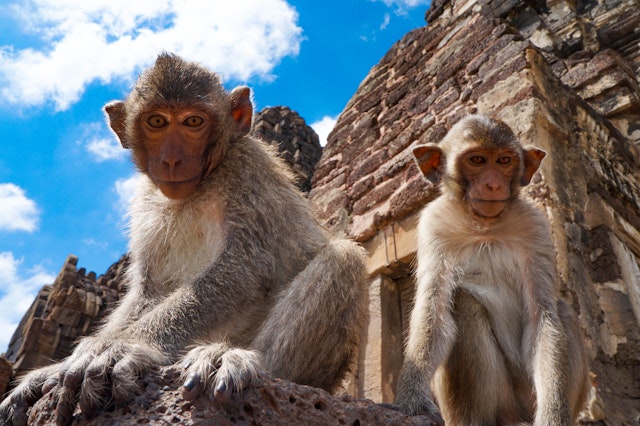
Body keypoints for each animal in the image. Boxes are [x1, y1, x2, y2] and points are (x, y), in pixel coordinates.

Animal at [0, 52, 368, 426]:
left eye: (193, 121)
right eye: (157, 122)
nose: (172, 159)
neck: (201, 185)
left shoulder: (247, 170)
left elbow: (244, 269)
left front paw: (127, 347)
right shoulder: (147, 202)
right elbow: (149, 289)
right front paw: (57, 368)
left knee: (343, 260)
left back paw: (238, 361)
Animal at [393, 115, 589, 426]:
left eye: (504, 160)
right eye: (477, 160)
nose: (494, 185)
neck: (485, 227)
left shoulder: (535, 226)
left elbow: (542, 316)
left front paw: (554, 416)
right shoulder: (434, 225)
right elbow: (433, 311)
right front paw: (411, 400)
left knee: (563, 310)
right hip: (503, 402)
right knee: (463, 302)